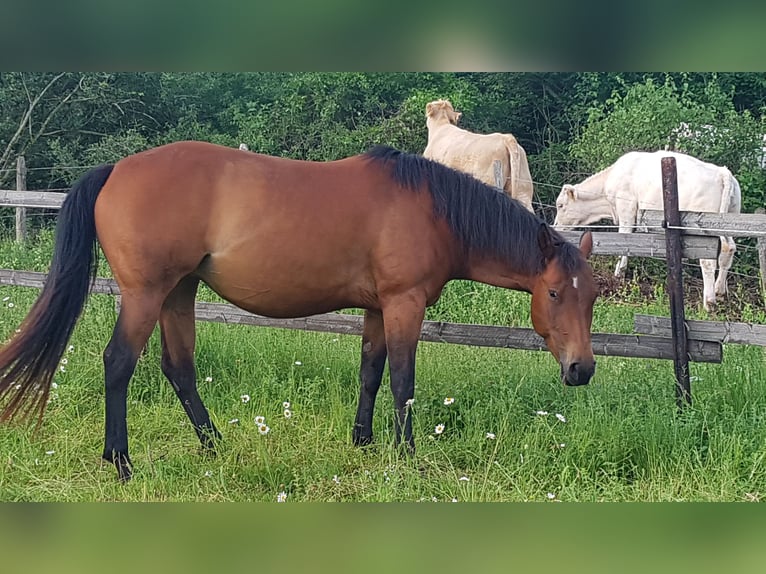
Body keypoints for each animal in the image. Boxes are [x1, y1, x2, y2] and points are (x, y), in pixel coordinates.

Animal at [0, 141, 597, 481]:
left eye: (591, 295)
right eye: (553, 294)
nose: (582, 369)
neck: (434, 210)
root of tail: (116, 169)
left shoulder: (377, 308)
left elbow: (371, 371)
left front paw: (363, 441)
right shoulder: (403, 304)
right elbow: (402, 380)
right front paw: (405, 454)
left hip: (178, 292)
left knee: (179, 367)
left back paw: (215, 446)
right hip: (147, 294)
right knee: (119, 363)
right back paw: (121, 462)